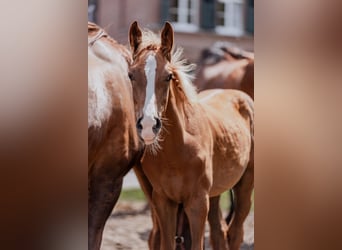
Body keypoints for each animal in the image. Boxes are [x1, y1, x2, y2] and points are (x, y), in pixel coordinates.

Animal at [128, 21, 254, 250]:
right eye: (131, 75)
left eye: (168, 76)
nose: (148, 125)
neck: (177, 150)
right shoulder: (163, 201)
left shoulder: (197, 202)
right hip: (215, 194)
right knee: (219, 232)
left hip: (245, 183)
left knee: (235, 232)